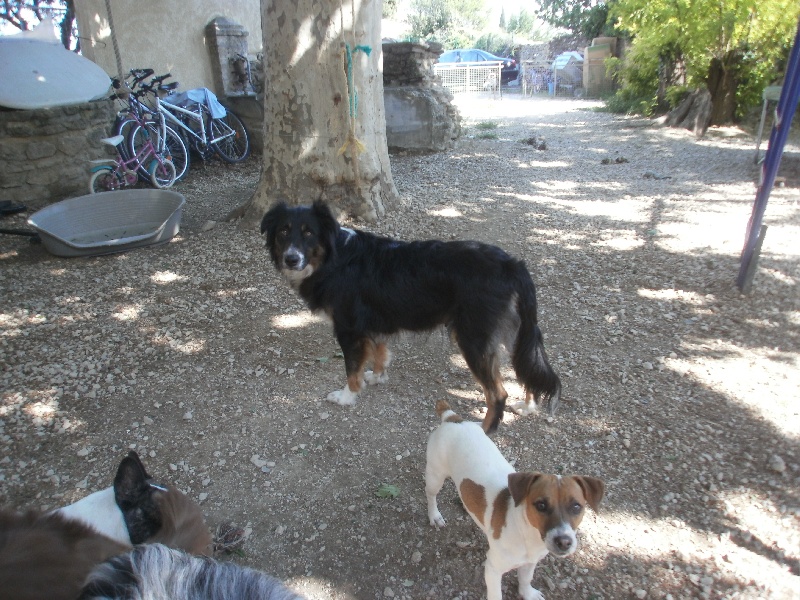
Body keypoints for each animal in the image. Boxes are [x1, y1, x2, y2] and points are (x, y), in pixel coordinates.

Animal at [261, 200, 561, 433]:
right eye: (284, 231)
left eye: (309, 232)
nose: (291, 259)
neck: (333, 258)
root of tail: (512, 264)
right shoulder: (373, 324)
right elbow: (380, 353)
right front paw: (377, 377)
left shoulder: (349, 330)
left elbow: (351, 371)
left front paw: (347, 396)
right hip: (513, 334)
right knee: (526, 367)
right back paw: (528, 406)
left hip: (473, 339)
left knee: (497, 393)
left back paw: (484, 430)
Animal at [425, 401, 604, 600]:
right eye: (541, 505)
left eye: (576, 506)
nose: (564, 541)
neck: (527, 534)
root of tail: (453, 418)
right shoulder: (493, 570)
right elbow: (496, 595)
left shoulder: (530, 562)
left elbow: (526, 579)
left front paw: (528, 593)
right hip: (435, 476)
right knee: (431, 495)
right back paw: (435, 516)